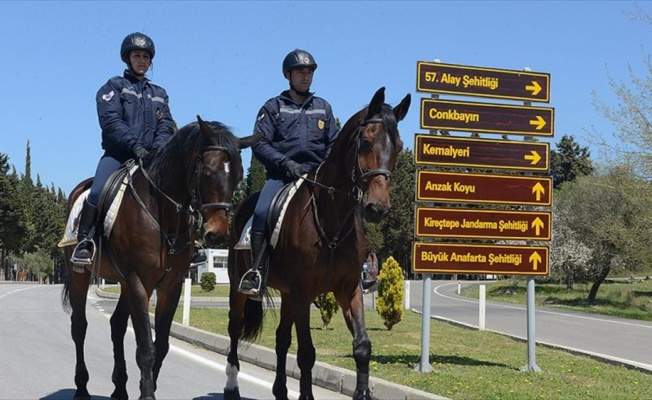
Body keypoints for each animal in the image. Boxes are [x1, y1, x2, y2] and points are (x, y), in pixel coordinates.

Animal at [61, 116, 260, 400]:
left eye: (239, 176)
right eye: (208, 172)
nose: (216, 233)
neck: (161, 211)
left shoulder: (170, 286)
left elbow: (162, 345)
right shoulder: (138, 282)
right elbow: (146, 349)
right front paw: (147, 394)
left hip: (123, 284)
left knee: (116, 325)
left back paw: (119, 388)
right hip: (82, 276)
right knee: (79, 326)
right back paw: (81, 388)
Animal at [224, 87, 408, 400]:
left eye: (398, 145)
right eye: (366, 141)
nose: (378, 208)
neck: (331, 214)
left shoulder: (348, 290)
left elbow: (362, 346)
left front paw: (362, 392)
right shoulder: (302, 293)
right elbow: (307, 353)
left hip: (286, 294)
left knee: (281, 339)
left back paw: (280, 390)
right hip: (241, 287)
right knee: (235, 329)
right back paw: (231, 386)